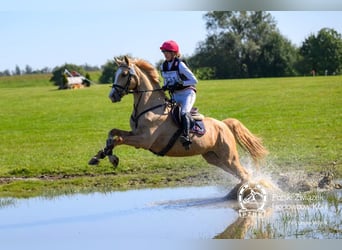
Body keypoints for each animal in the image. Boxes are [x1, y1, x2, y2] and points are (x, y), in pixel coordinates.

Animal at [89, 55, 270, 198]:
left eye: (124, 74)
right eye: (116, 74)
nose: (112, 96)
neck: (149, 106)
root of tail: (224, 124)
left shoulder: (143, 140)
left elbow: (118, 139)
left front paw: (111, 158)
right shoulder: (135, 133)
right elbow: (112, 133)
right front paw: (100, 155)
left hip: (228, 157)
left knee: (245, 174)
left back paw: (240, 193)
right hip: (214, 157)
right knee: (241, 175)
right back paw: (236, 193)